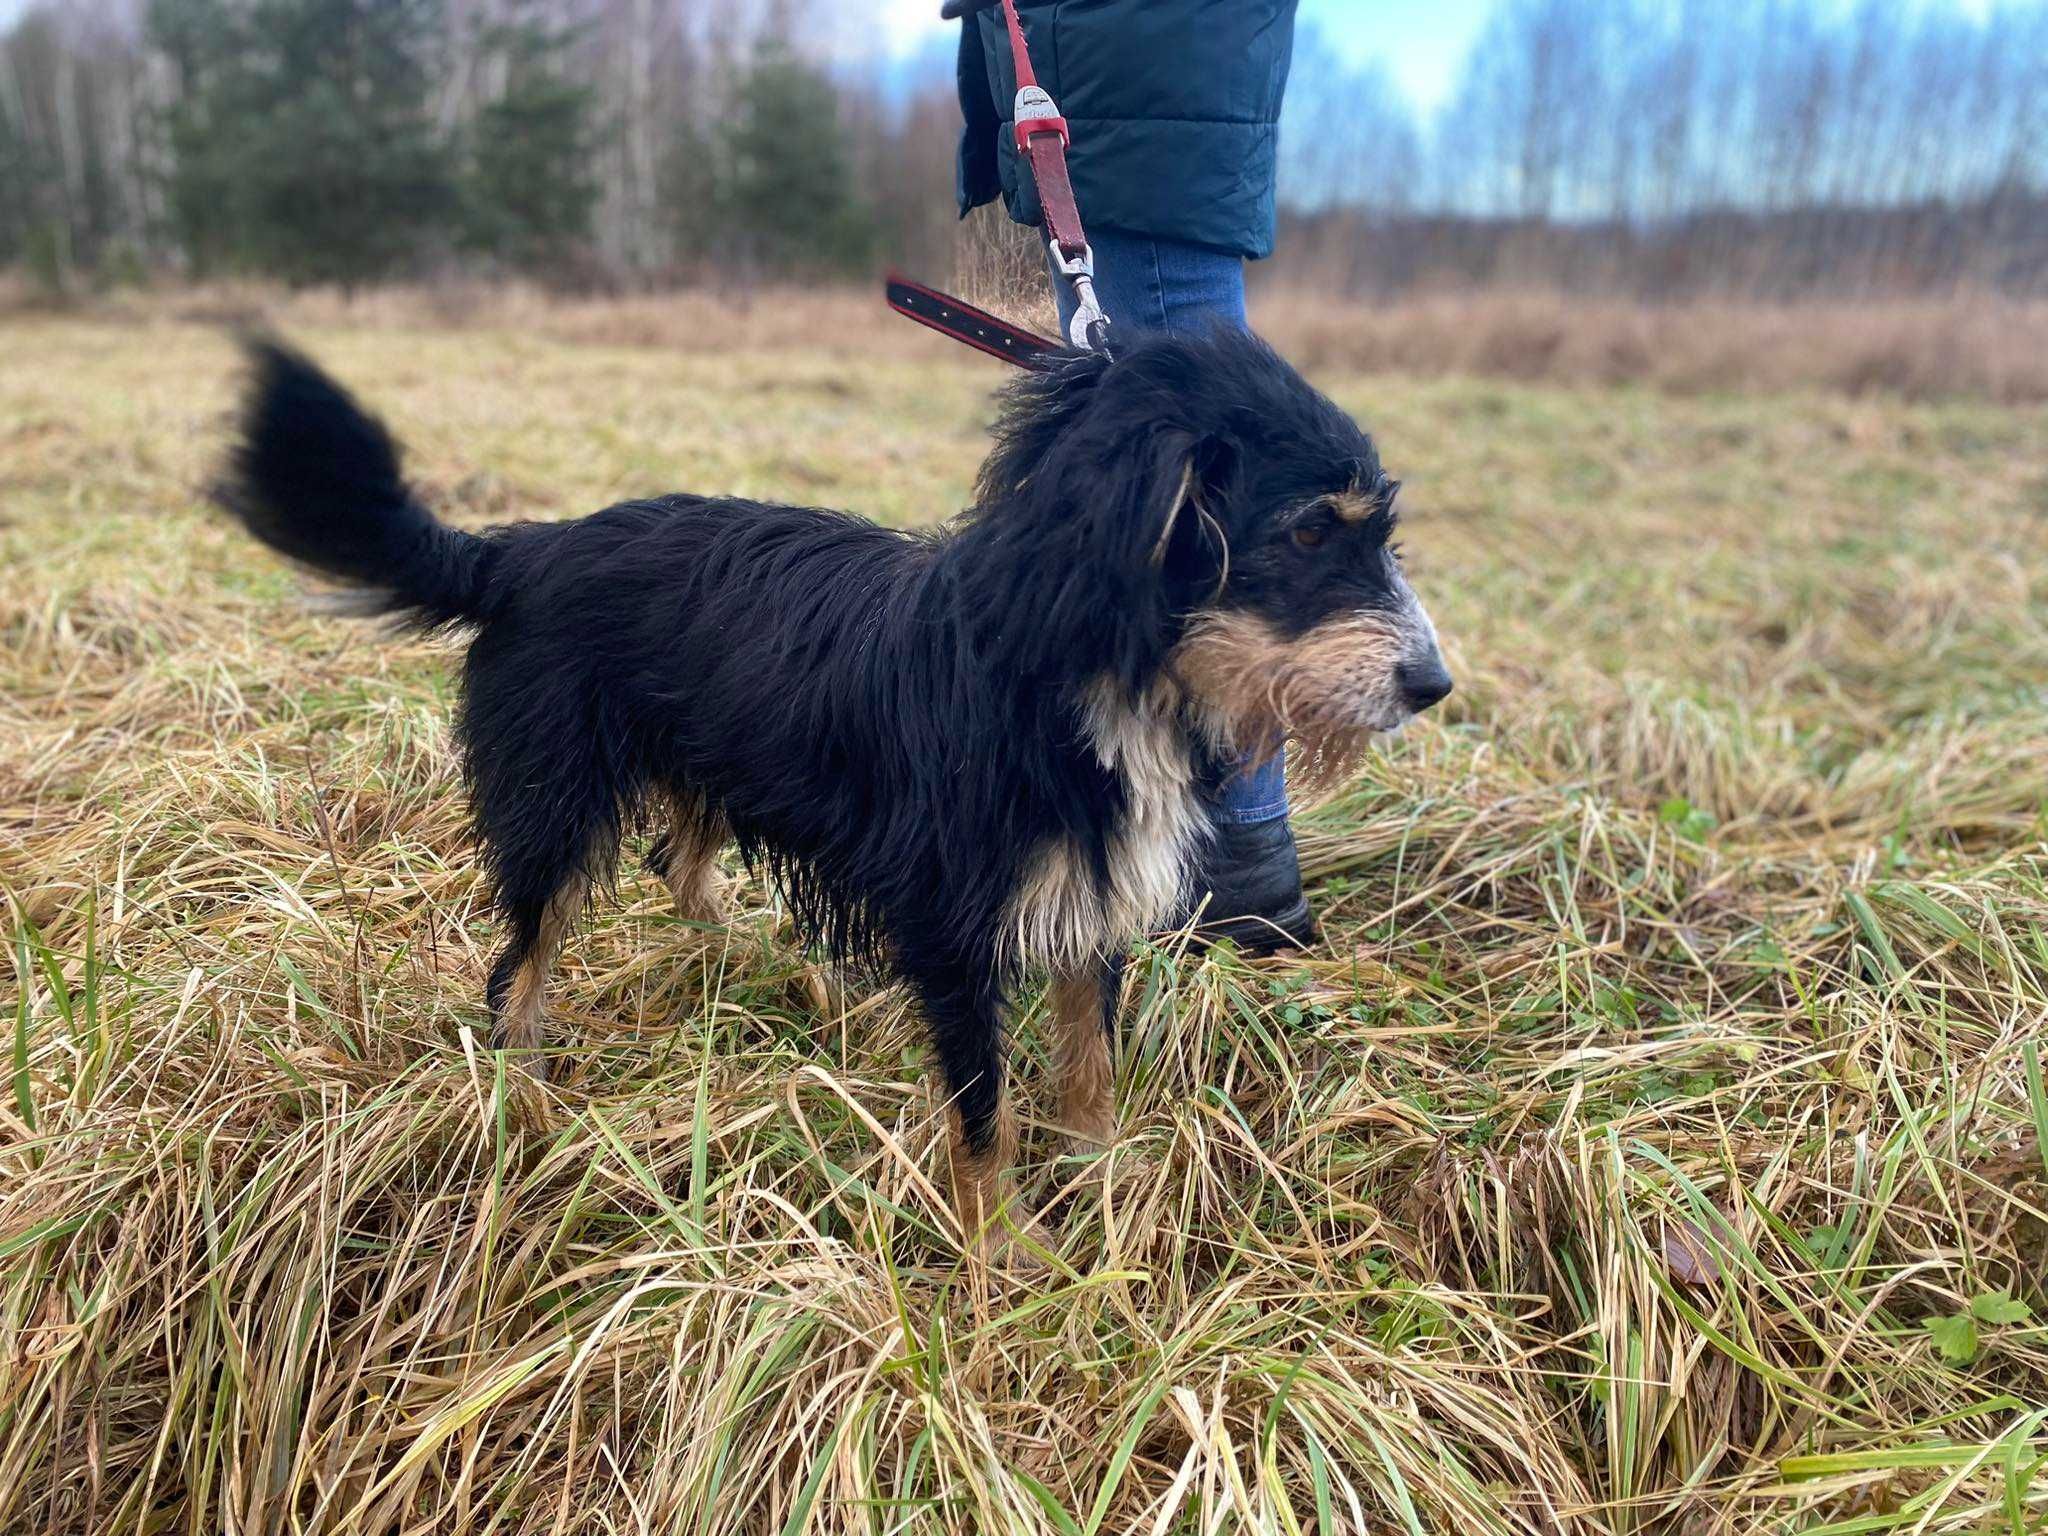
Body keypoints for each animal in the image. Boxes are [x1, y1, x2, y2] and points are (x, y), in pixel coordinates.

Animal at [224, 331, 1449, 1253]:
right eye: (1307, 530)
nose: (1433, 684)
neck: (1084, 676)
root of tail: (521, 550)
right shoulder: (953, 930)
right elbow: (983, 1111)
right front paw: (1004, 1257)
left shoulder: (1090, 902)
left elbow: (1089, 1064)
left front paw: (1105, 1189)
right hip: (553, 805)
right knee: (519, 963)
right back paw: (524, 1100)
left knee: (677, 866)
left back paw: (765, 970)